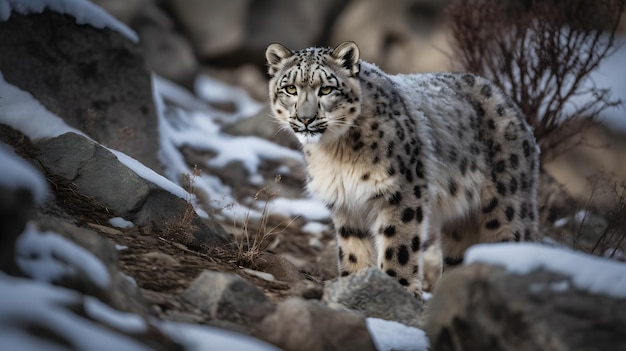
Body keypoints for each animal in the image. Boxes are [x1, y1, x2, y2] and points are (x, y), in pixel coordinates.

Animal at [264, 40, 536, 296]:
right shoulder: (346, 202)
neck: (334, 153)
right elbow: (353, 248)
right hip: (460, 225)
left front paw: (398, 287)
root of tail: (508, 100)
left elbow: (399, 244)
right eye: (290, 88)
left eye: (327, 89)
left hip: (507, 210)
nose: (305, 119)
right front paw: (355, 282)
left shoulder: (401, 192)